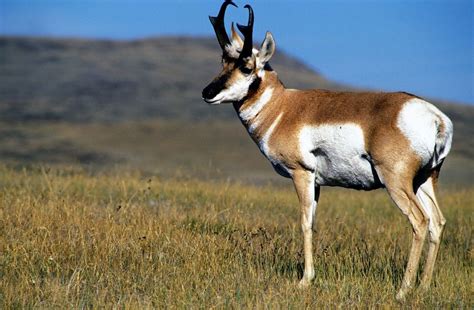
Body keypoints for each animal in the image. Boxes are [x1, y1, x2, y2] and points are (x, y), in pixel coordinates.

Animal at [200, 0, 452, 300]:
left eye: (247, 67)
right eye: (223, 62)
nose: (207, 93)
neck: (282, 108)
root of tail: (435, 117)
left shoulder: (302, 174)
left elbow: (304, 222)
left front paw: (304, 280)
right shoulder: (318, 183)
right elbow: (313, 221)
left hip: (396, 182)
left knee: (420, 221)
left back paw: (403, 290)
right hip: (424, 180)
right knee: (437, 221)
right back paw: (423, 286)